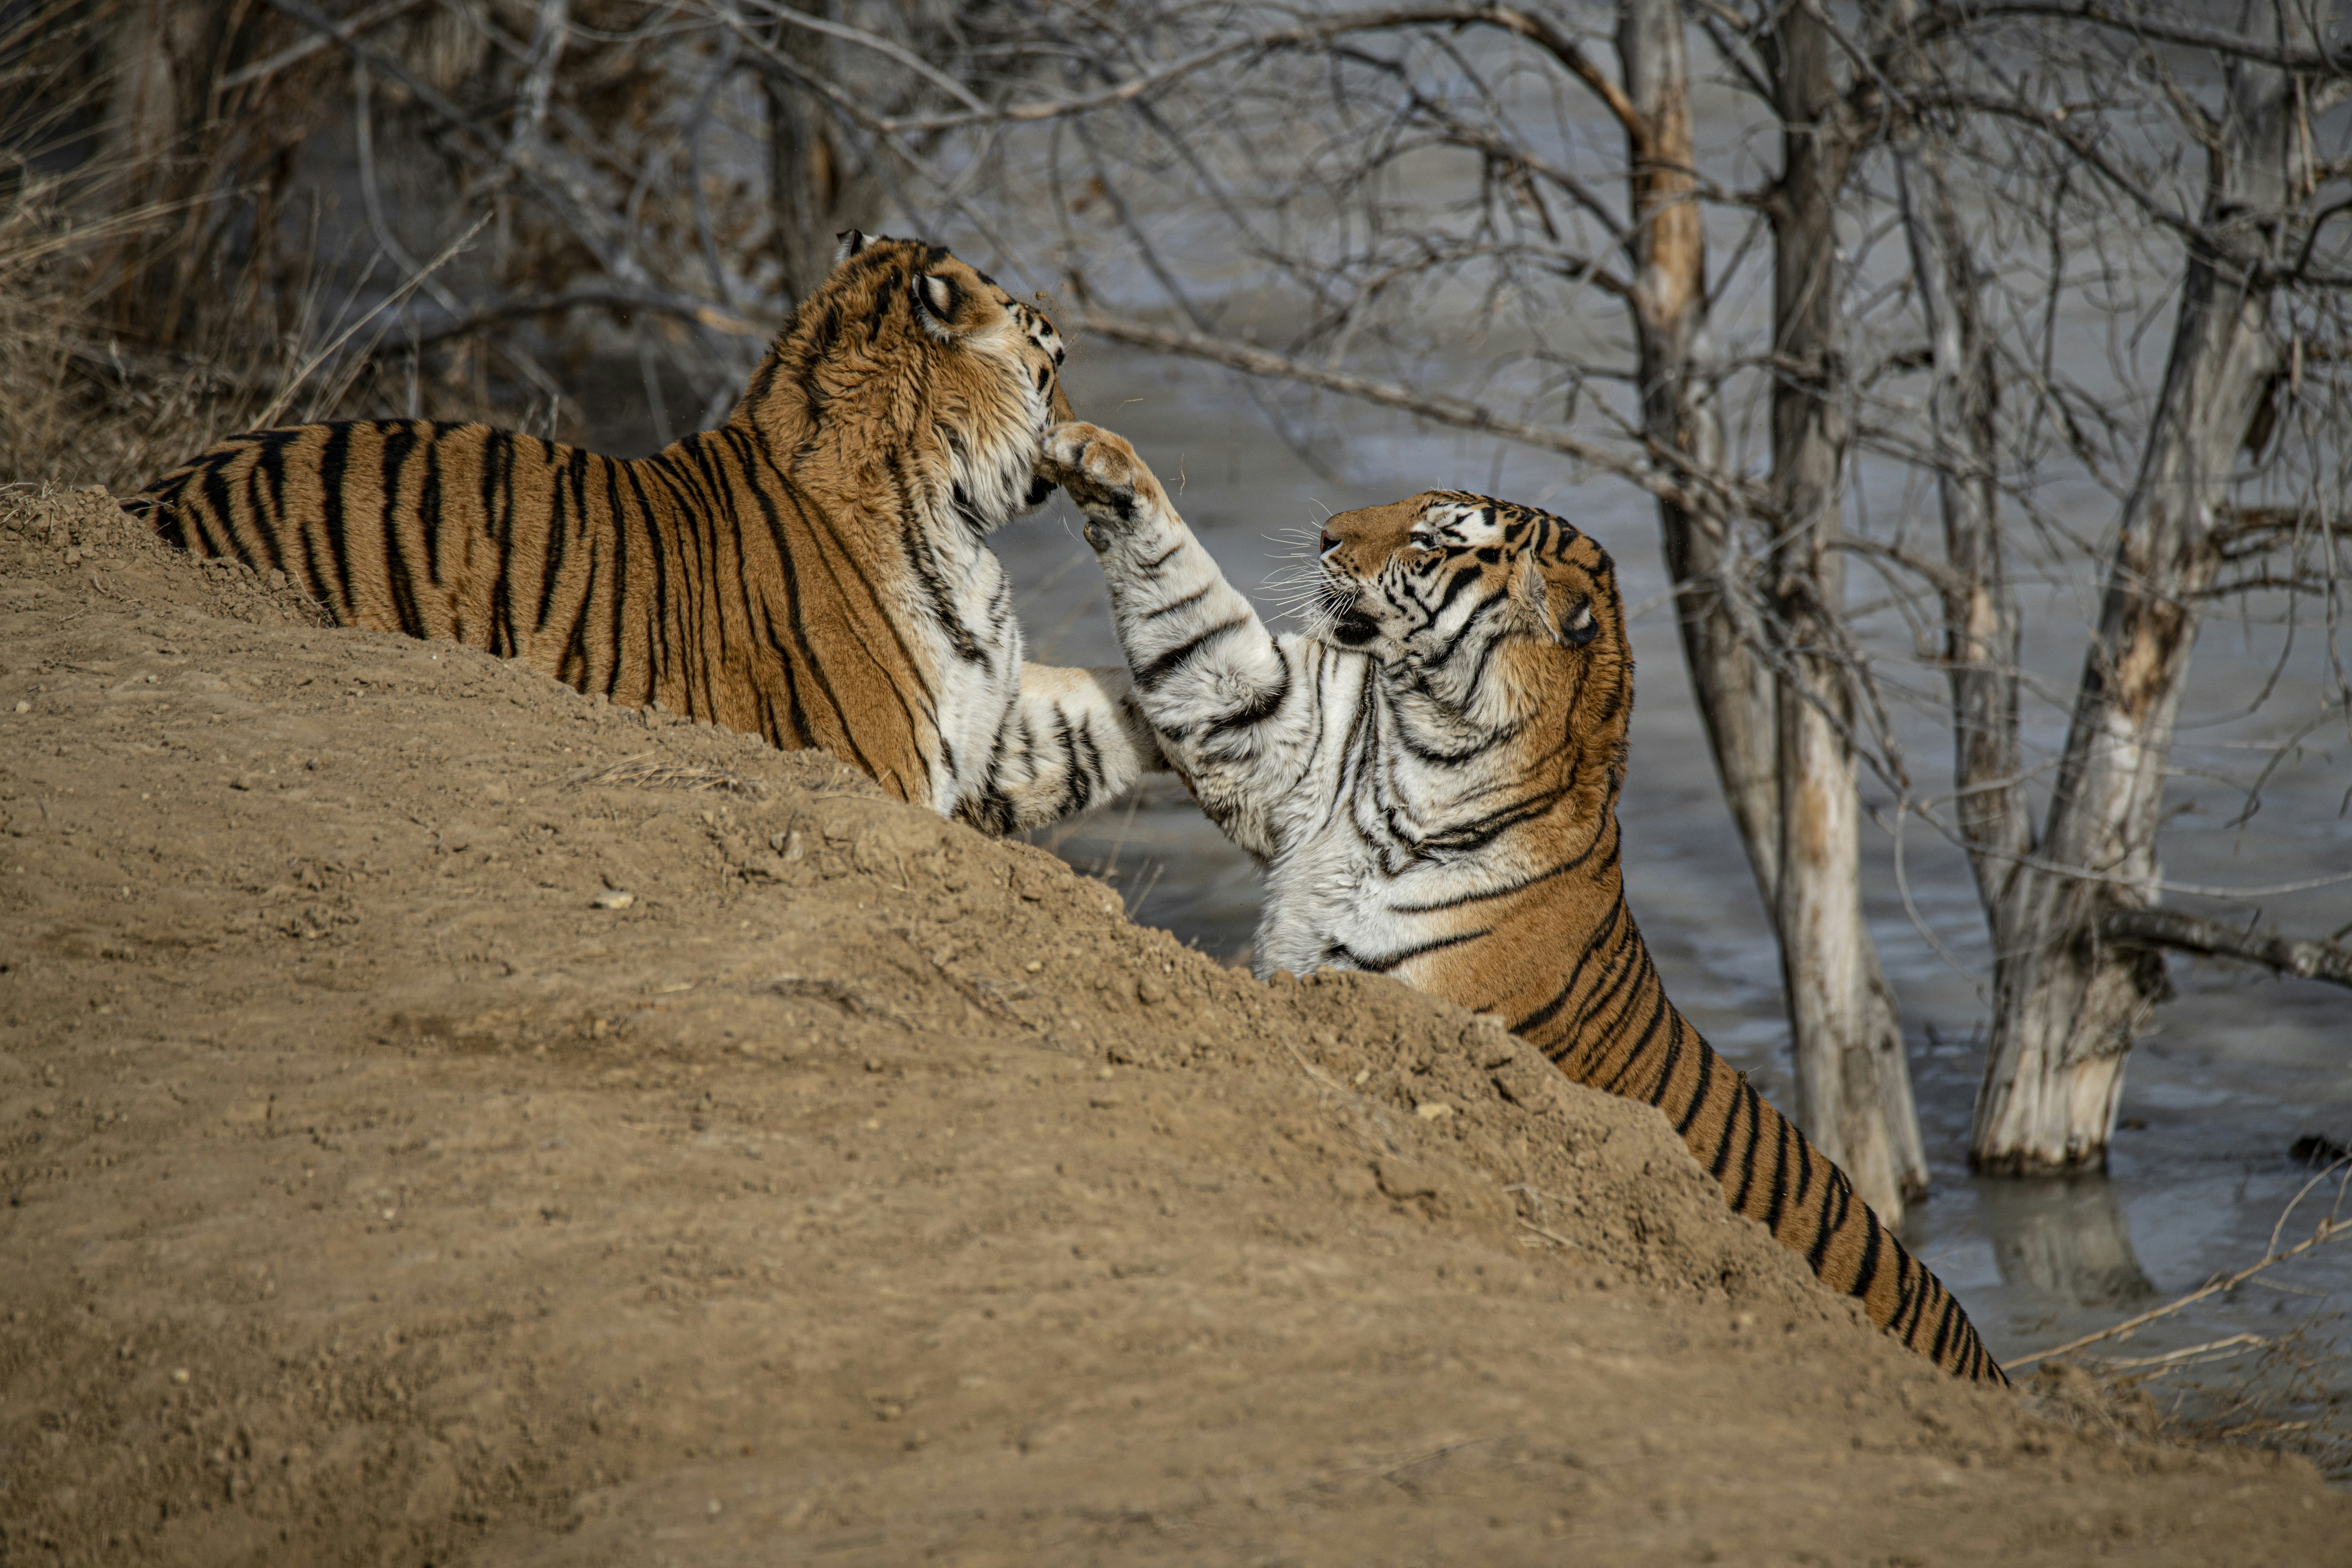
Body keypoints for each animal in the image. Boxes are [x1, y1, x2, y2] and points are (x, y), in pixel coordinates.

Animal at [130, 233, 1158, 834]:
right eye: (1054, 361)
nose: (1077, 429)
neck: (949, 517)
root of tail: (156, 500)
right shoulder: (881, 771)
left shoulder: (990, 719)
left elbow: (1098, 710)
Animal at [1038, 420, 2006, 1384]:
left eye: (1431, 539)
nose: (1325, 535)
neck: (1420, 753)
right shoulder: (1275, 724)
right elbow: (1193, 619)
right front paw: (1095, 455)